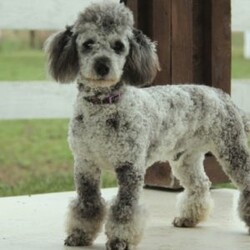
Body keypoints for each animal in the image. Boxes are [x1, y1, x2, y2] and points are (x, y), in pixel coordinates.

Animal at [45, 0, 250, 249]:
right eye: (88, 43)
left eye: (118, 46)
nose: (102, 66)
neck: (103, 109)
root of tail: (223, 96)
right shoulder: (85, 163)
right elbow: (87, 203)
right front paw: (80, 235)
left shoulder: (129, 165)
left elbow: (124, 208)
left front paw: (120, 239)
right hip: (186, 158)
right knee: (200, 184)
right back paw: (188, 218)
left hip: (232, 150)